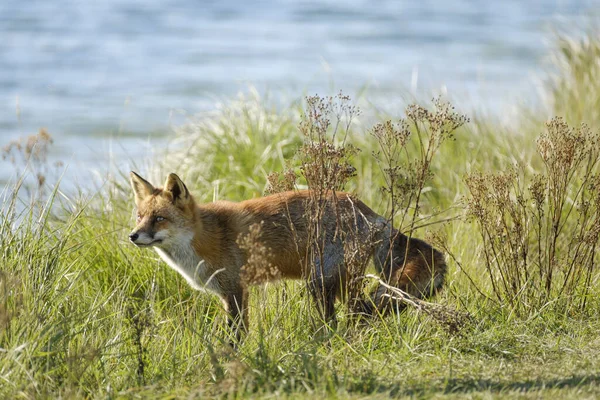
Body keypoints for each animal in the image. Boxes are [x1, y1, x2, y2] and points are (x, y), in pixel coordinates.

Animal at [127, 172, 446, 338]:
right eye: (140, 216)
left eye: (159, 219)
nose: (133, 236)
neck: (207, 238)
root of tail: (369, 212)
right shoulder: (227, 294)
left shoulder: (236, 290)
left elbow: (237, 334)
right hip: (337, 283)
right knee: (358, 313)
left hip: (320, 283)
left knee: (350, 315)